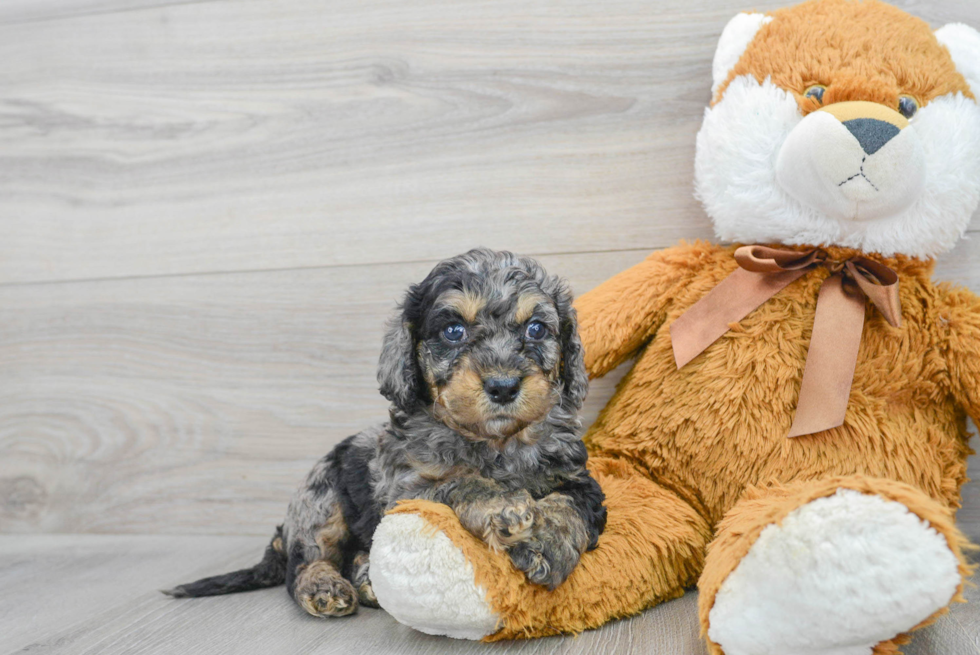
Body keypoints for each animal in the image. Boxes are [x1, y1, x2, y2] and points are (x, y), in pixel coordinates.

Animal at [167, 249, 604, 616]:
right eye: (453, 331)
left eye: (536, 329)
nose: (503, 386)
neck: (493, 442)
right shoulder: (407, 490)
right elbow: (459, 483)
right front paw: (503, 505)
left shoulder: (577, 478)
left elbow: (570, 505)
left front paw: (548, 543)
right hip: (322, 500)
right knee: (305, 563)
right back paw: (323, 587)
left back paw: (366, 581)